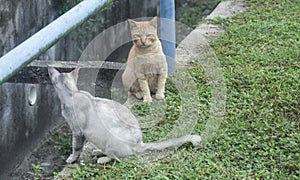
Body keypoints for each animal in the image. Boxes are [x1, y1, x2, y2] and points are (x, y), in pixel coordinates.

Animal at [48, 67, 200, 163]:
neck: (72, 93)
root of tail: (139, 142)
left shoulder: (77, 131)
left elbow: (76, 148)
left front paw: (71, 159)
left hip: (110, 139)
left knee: (116, 157)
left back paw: (101, 158)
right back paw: (97, 151)